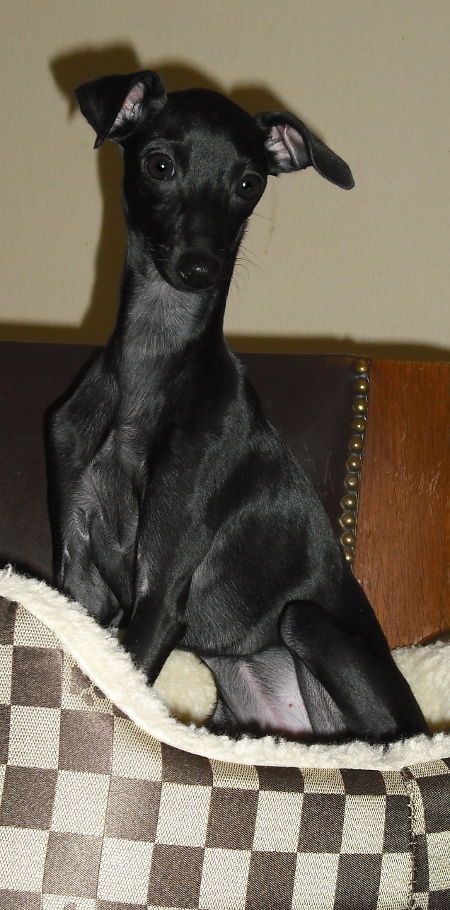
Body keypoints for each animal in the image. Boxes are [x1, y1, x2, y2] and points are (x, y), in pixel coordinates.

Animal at [47, 70, 428, 742]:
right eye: (160, 164)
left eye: (249, 184)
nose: (199, 267)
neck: (151, 367)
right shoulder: (80, 576)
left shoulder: (160, 595)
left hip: (310, 628)